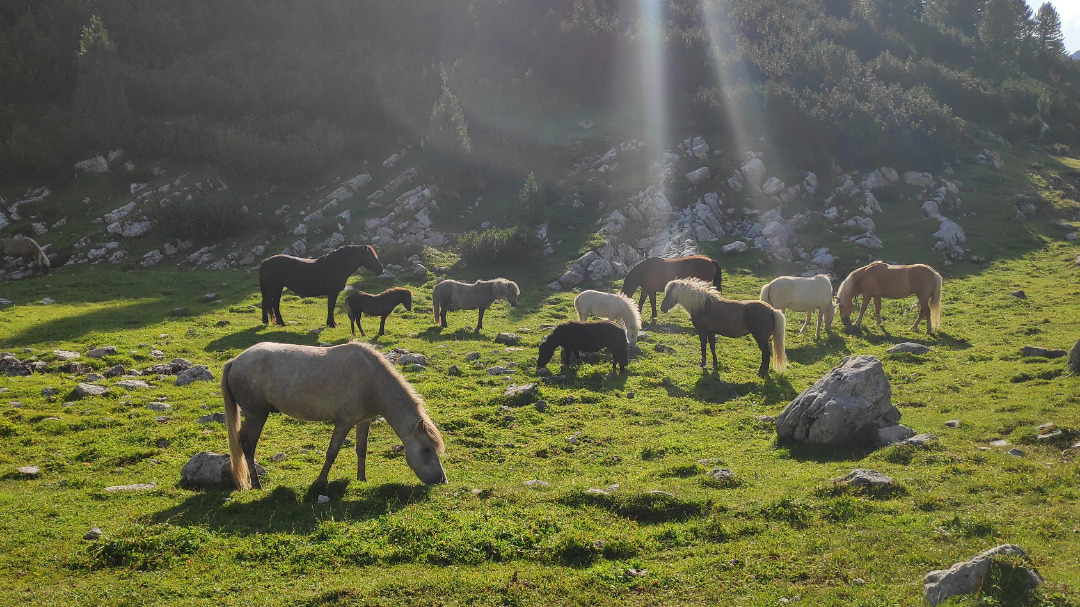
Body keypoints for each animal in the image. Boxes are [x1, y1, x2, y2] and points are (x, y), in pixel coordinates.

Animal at [221, 341, 444, 486]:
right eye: (426, 449)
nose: (442, 480)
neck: (372, 381)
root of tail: (235, 361)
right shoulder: (344, 421)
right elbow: (332, 452)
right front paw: (321, 480)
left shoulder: (364, 421)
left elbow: (361, 450)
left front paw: (361, 479)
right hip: (256, 415)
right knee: (248, 446)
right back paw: (256, 484)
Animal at [656, 276, 786, 375]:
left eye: (669, 294)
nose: (662, 308)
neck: (703, 305)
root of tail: (771, 310)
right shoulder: (711, 332)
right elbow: (712, 347)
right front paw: (715, 364)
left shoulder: (702, 332)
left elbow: (703, 346)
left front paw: (703, 364)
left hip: (761, 338)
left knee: (766, 353)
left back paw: (761, 373)